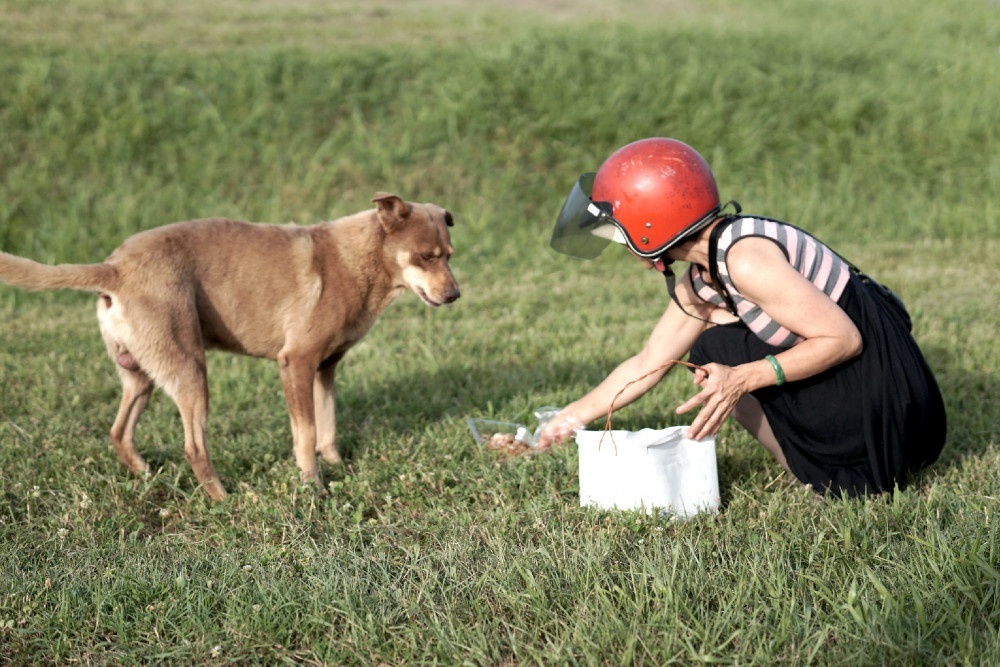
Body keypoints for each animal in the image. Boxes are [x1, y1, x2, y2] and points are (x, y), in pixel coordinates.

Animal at [0, 194, 460, 500]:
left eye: (450, 255)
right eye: (425, 256)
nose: (455, 295)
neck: (357, 259)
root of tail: (113, 268)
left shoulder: (325, 368)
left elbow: (328, 425)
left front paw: (338, 467)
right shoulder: (296, 363)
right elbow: (306, 433)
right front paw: (312, 487)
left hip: (141, 374)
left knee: (118, 431)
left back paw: (146, 474)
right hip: (191, 369)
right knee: (194, 446)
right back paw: (223, 499)